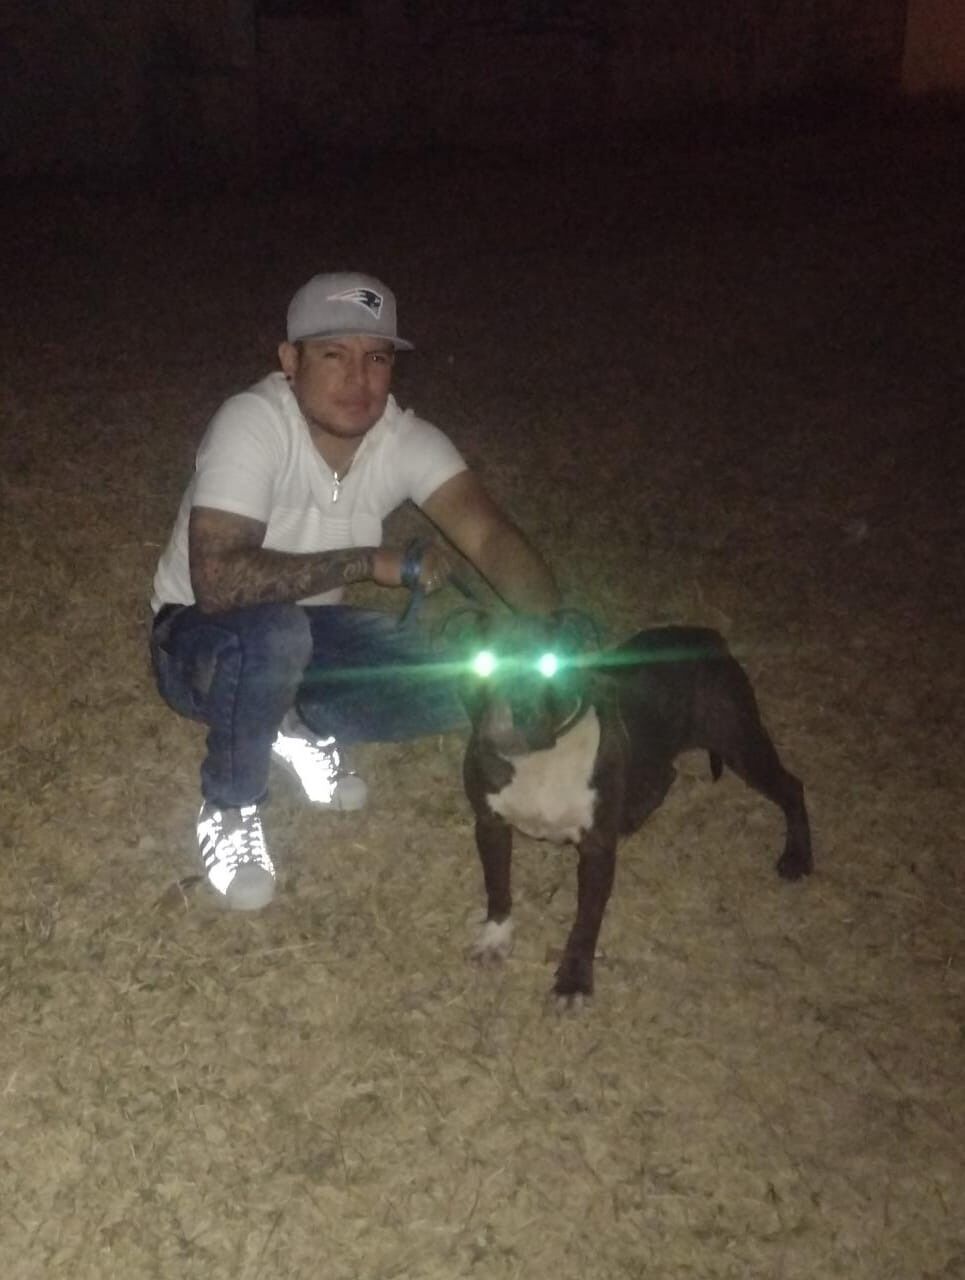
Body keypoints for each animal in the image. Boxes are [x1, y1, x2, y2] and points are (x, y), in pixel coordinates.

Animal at [452, 612, 812, 1005]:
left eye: (548, 664)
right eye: (484, 661)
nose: (510, 709)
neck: (540, 761)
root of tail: (708, 635)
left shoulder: (597, 850)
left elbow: (586, 919)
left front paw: (574, 981)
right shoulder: (490, 825)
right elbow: (498, 886)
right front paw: (495, 938)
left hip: (740, 744)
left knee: (792, 787)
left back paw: (797, 858)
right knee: (667, 773)